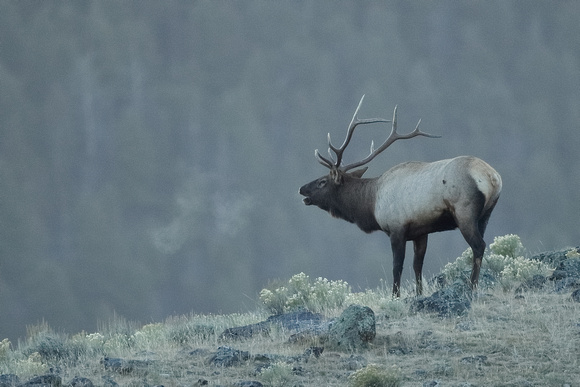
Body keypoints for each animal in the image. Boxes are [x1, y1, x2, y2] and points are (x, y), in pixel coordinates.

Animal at [302, 96, 500, 298]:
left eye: (322, 182)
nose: (302, 189)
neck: (371, 203)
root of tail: (492, 177)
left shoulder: (397, 228)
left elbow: (397, 266)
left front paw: (395, 295)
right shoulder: (421, 231)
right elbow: (417, 265)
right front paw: (419, 293)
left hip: (464, 213)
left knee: (478, 246)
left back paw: (472, 287)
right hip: (485, 215)